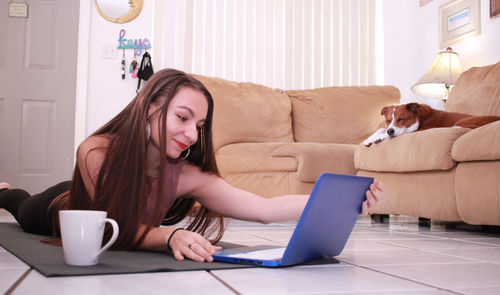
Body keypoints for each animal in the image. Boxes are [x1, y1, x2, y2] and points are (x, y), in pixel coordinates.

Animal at [364, 103, 500, 147]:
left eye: (401, 119)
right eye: (388, 120)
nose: (390, 131)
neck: (419, 118)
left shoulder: (418, 130)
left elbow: (402, 132)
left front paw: (379, 137)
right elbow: (381, 129)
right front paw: (369, 138)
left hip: (461, 123)